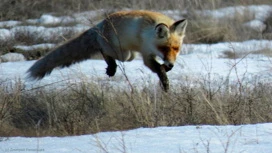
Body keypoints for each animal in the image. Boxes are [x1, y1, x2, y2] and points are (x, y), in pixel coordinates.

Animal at [27, 10, 187, 91]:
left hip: (130, 54)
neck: (148, 34)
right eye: (164, 48)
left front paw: (166, 70)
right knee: (104, 50)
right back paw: (111, 67)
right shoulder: (146, 52)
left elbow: (161, 67)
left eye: (176, 49)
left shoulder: (150, 53)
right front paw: (165, 83)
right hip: (124, 53)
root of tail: (100, 24)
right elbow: (158, 69)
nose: (171, 64)